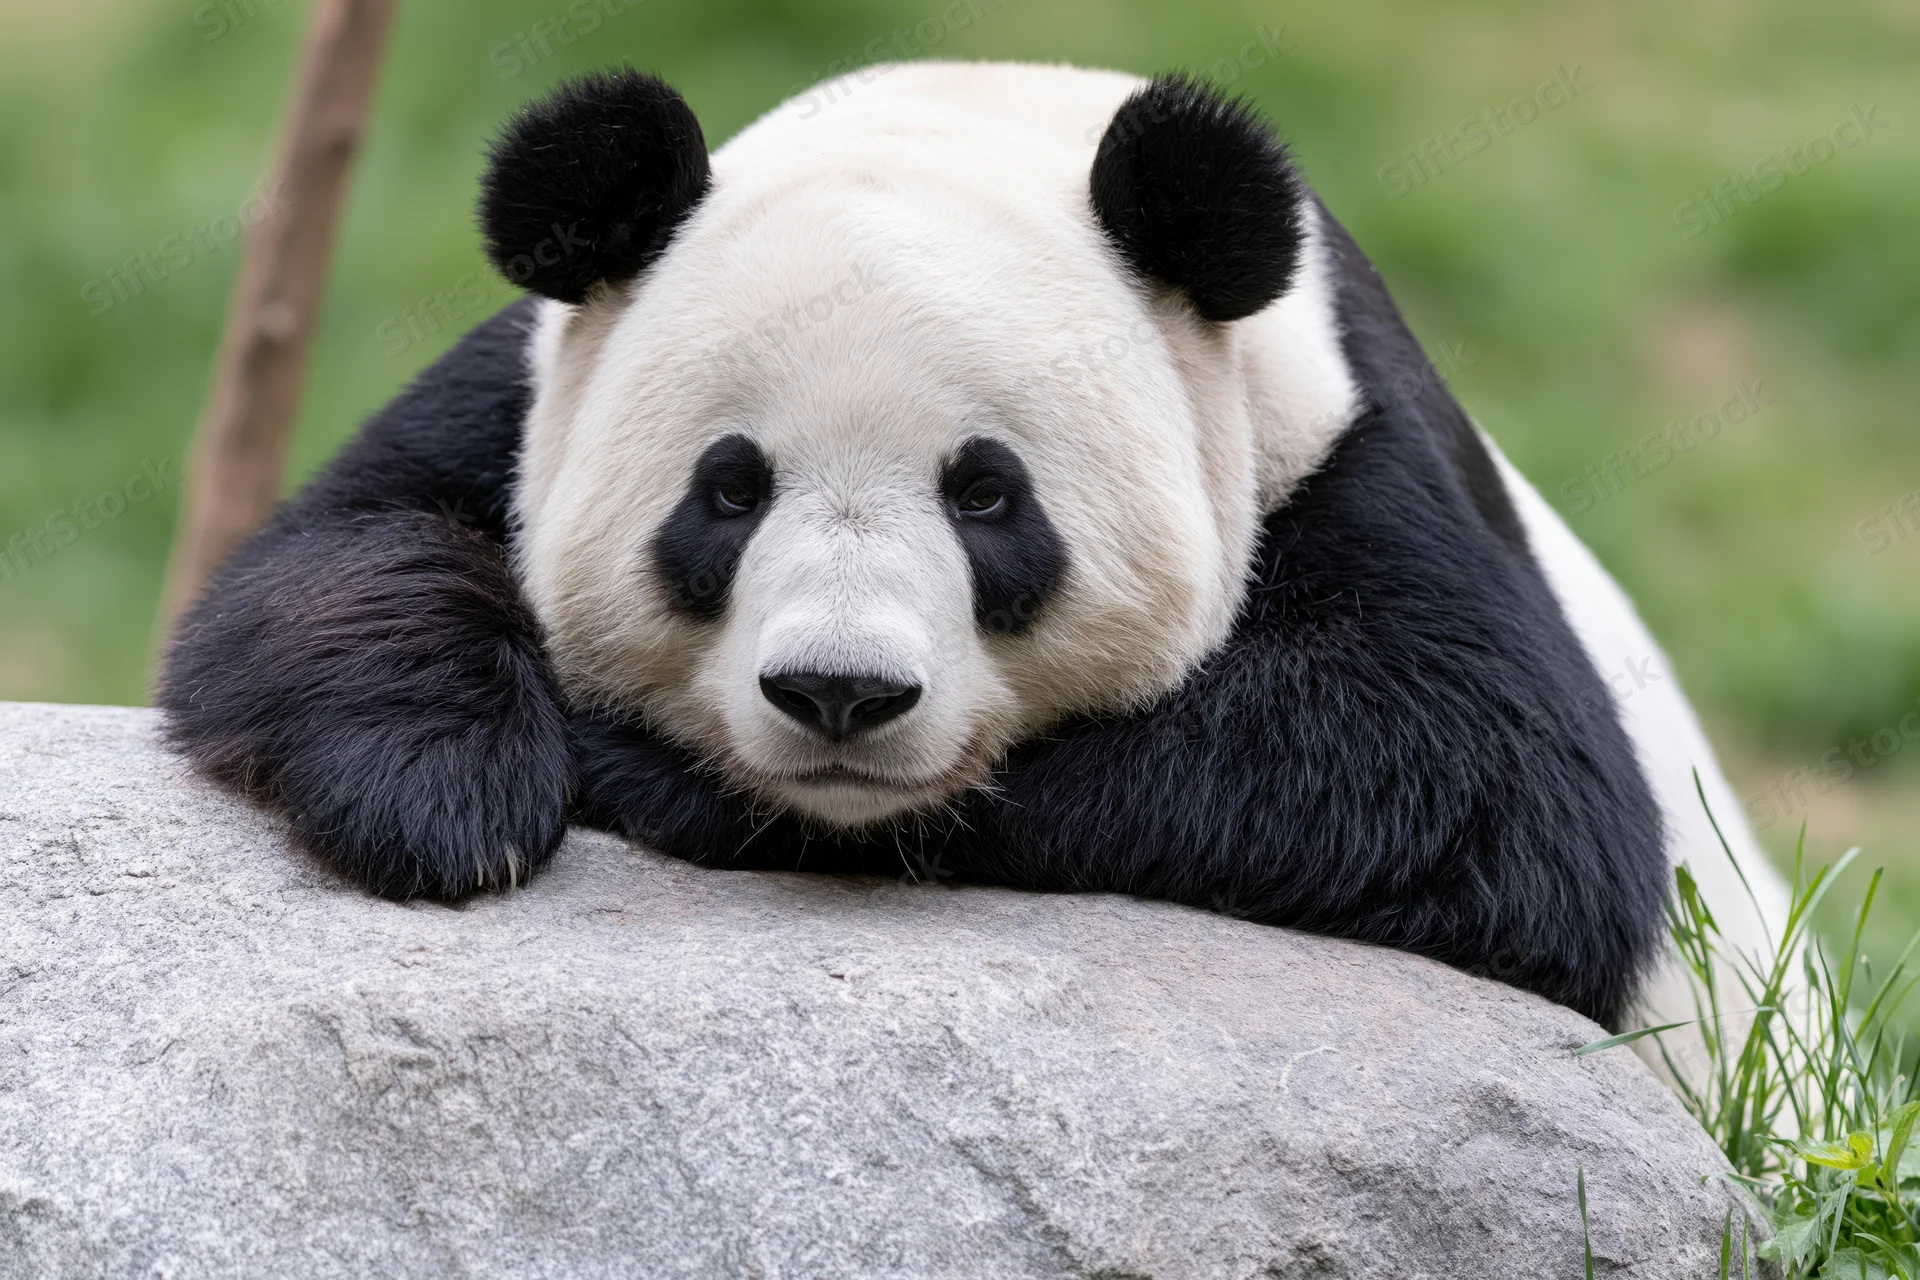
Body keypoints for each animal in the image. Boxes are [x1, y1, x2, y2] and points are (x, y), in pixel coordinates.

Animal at [160, 61, 1786, 1034]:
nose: (838, 694)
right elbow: (323, 566)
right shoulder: (523, 391)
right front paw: (440, 790)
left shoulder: (1338, 440)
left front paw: (639, 768)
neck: (989, 109)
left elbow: (1492, 788)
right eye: (728, 491)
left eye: (988, 497)